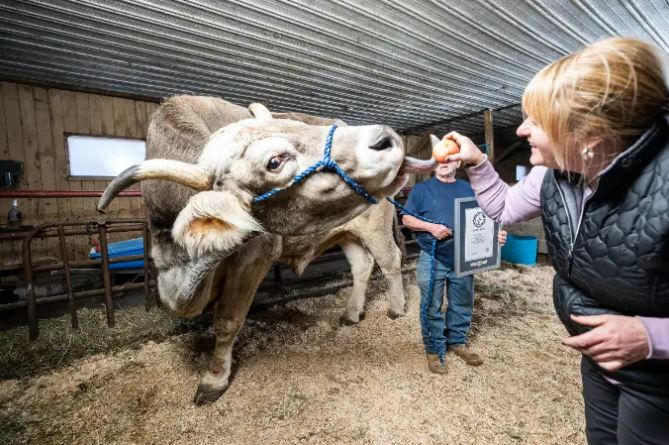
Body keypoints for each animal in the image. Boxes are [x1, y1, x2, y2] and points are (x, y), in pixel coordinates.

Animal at [98, 95, 434, 404]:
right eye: (275, 161)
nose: (385, 138)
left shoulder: (255, 256)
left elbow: (227, 321)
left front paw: (214, 379)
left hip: (376, 228)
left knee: (389, 262)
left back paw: (396, 308)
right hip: (347, 232)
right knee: (362, 265)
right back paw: (351, 313)